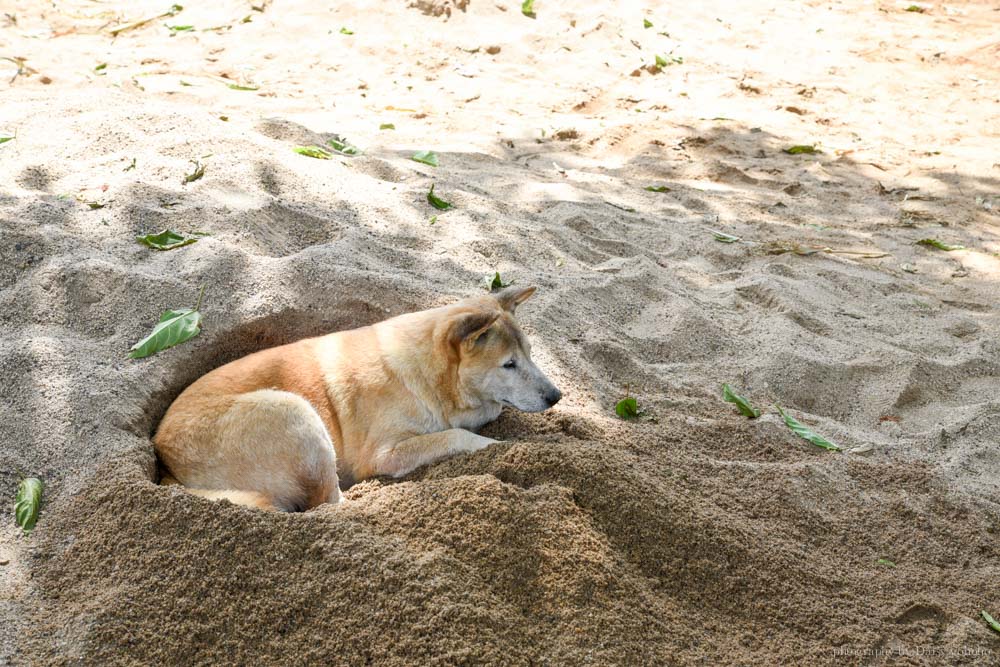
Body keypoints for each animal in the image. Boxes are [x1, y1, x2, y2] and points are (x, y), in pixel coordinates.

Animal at [155, 286, 564, 512]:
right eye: (508, 364)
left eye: (531, 354)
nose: (556, 396)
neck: (429, 374)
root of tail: (166, 461)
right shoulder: (384, 453)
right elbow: (457, 436)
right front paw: (495, 445)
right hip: (294, 412)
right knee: (327, 504)